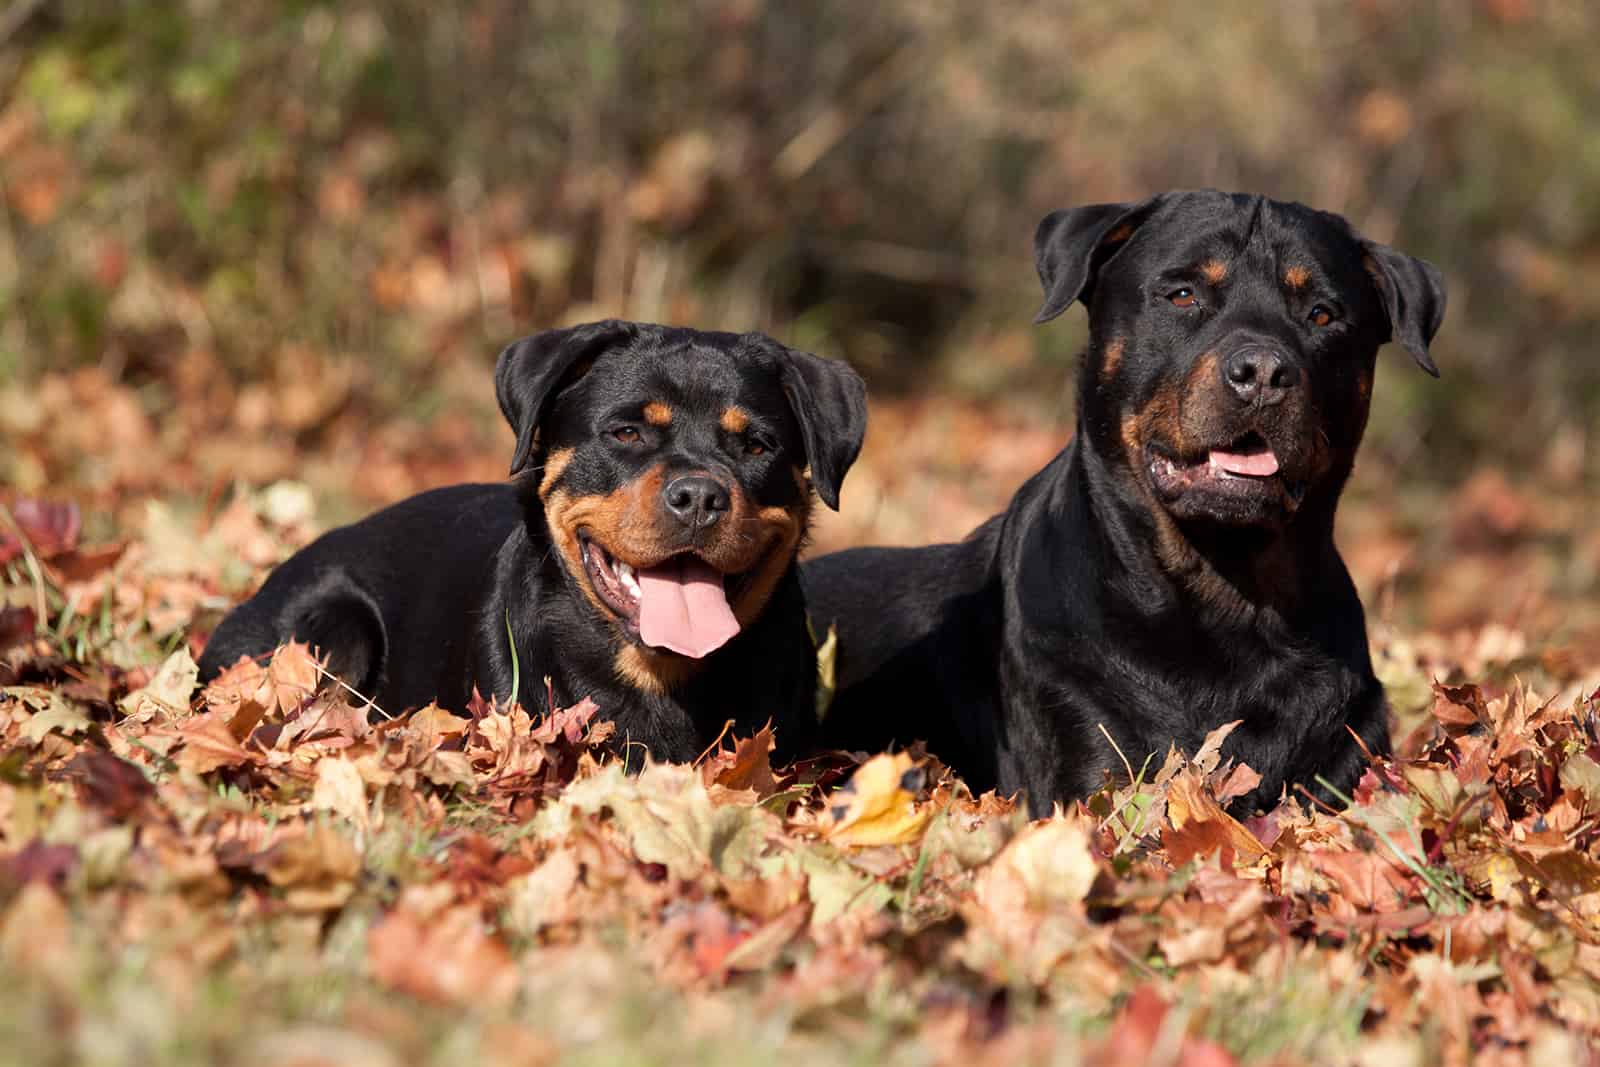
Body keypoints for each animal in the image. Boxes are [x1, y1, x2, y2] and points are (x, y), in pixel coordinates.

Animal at [806, 191, 1446, 812]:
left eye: (1322, 314)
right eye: (1183, 294)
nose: (1263, 371)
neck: (1231, 599)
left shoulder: (1346, 763)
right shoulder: (1093, 772)